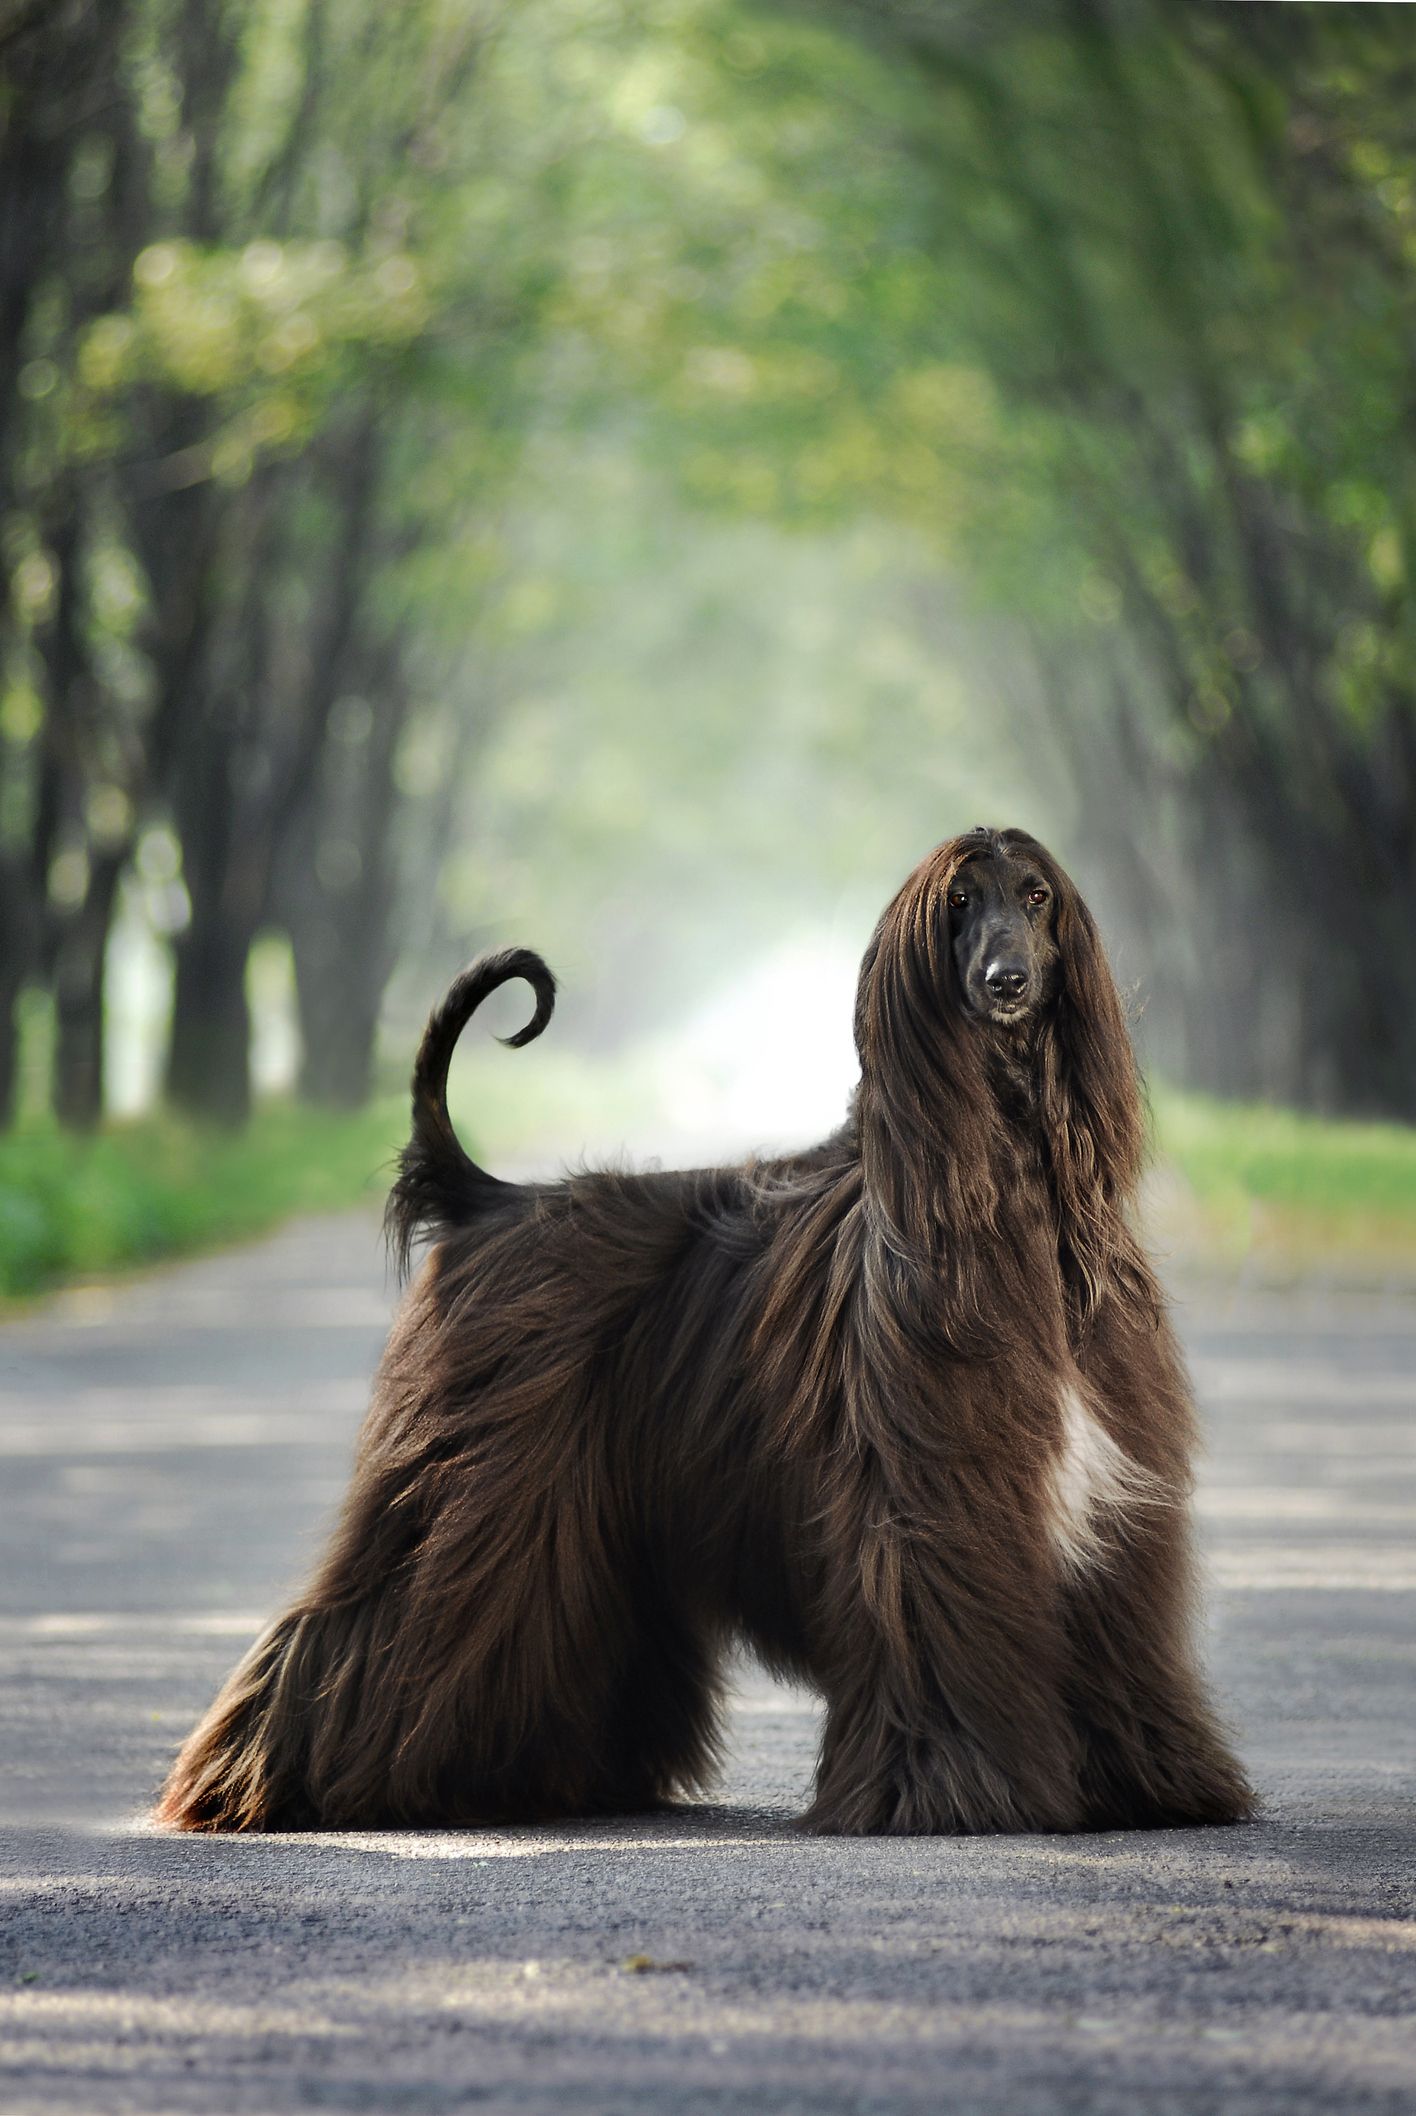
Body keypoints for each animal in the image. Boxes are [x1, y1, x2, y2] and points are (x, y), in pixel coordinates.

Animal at [159, 825, 1253, 1836]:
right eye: (957, 905)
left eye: (1036, 895)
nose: (1007, 979)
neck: (1010, 1191)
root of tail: (490, 1199)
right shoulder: (935, 1500)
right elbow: (940, 1636)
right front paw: (952, 1792)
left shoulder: (1106, 1516)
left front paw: (1146, 1780)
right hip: (469, 1476)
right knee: (362, 1618)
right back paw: (260, 1783)